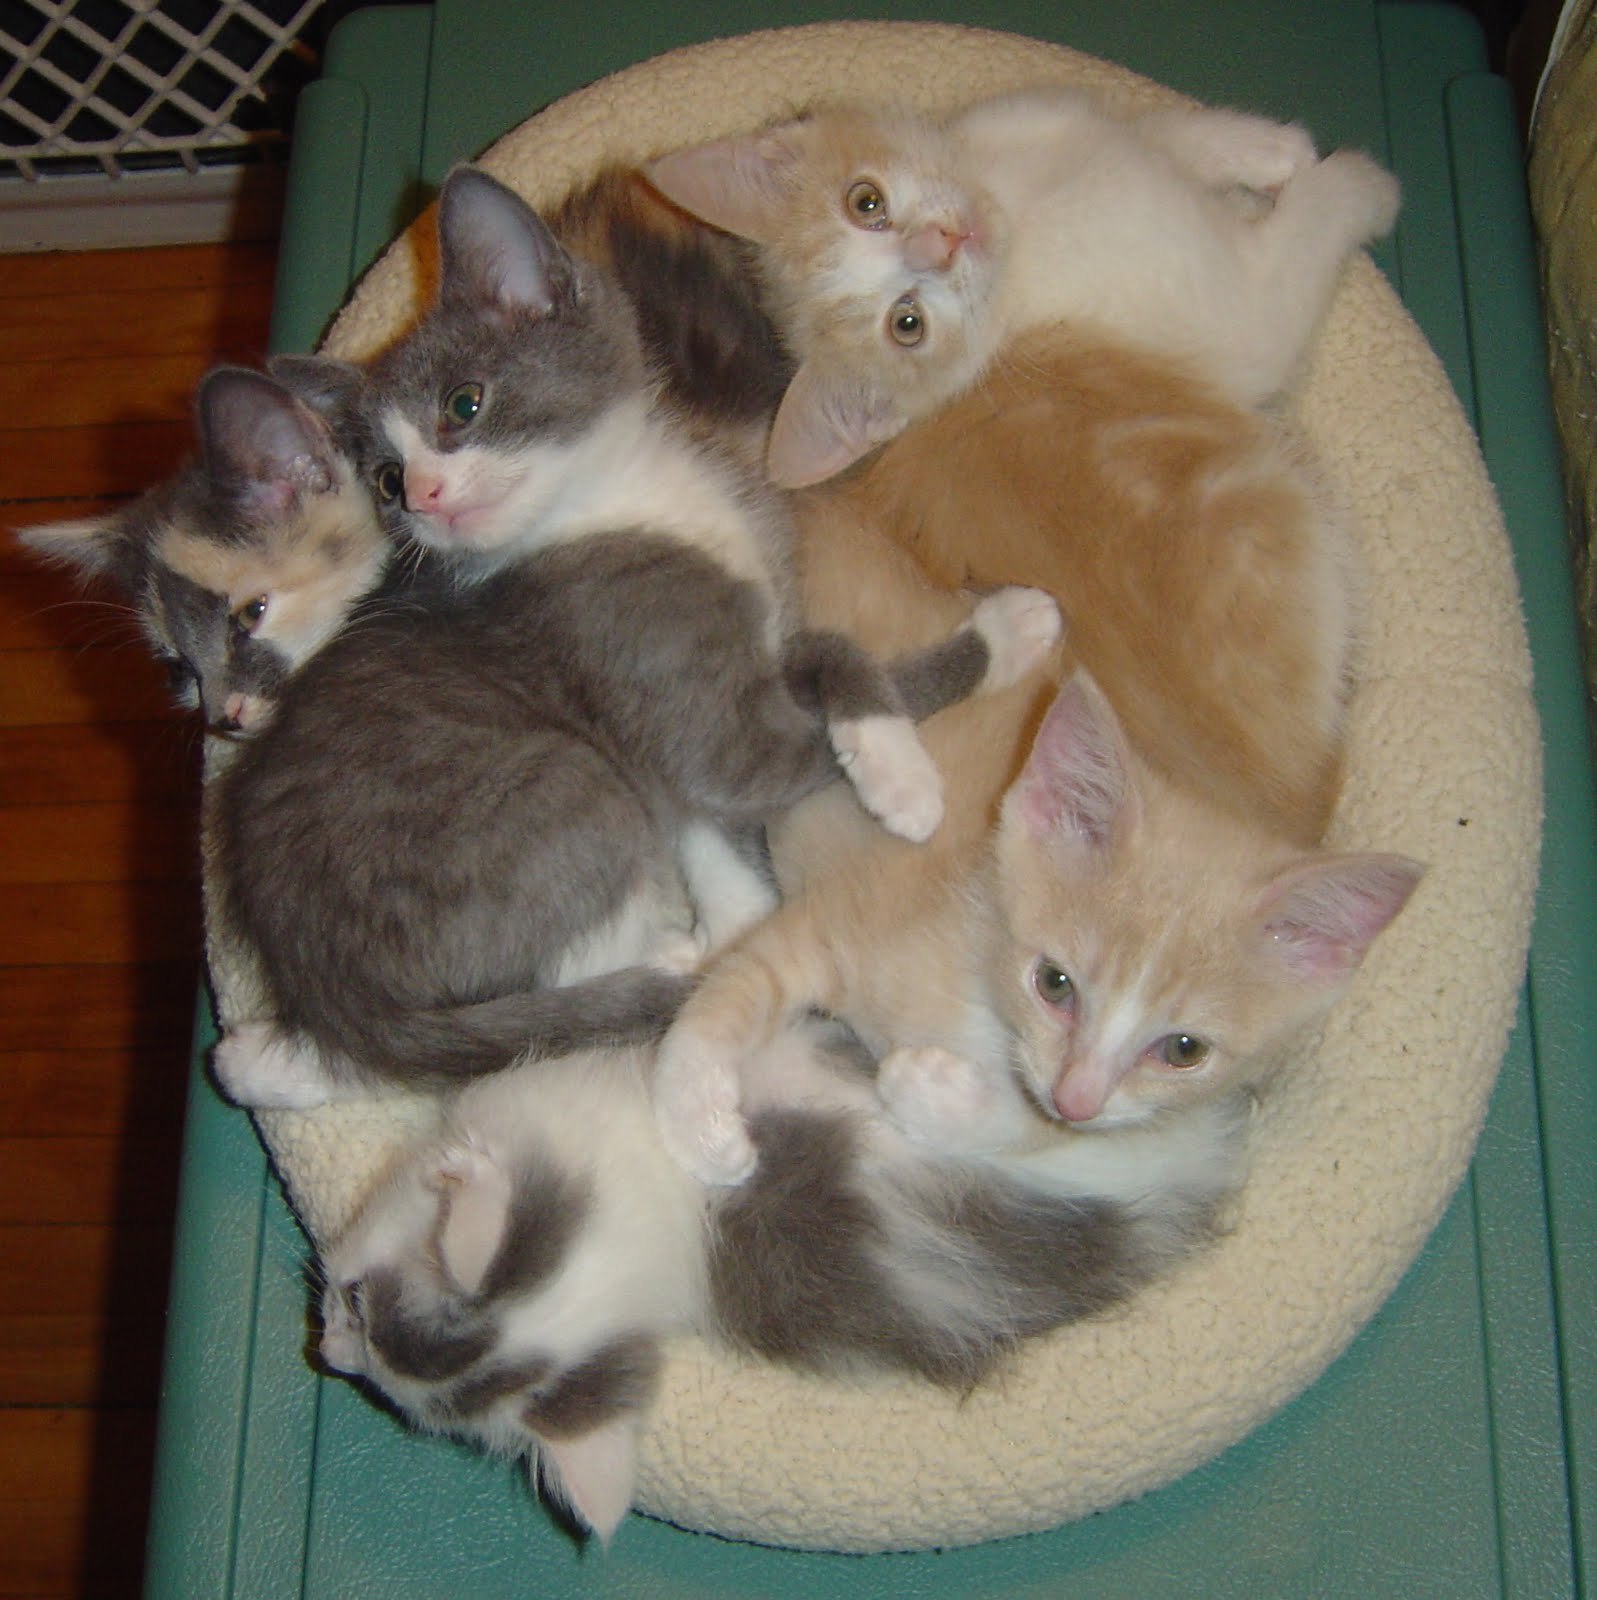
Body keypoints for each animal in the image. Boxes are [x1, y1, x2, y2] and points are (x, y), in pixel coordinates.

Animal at [208, 165, 1059, 1105]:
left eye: (464, 405)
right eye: (387, 479)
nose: (424, 496)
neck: (614, 502)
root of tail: (340, 994)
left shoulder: (723, 674)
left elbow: (808, 674)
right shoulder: (692, 711)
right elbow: (811, 715)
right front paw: (967, 683)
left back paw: (266, 1058)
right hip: (571, 786)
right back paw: (671, 963)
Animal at [645, 88, 1400, 485]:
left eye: (865, 203)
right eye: (907, 324)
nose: (942, 243)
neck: (1023, 211)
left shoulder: (1060, 124)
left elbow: (1162, 131)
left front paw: (1268, 150)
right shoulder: (1244, 314)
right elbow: (1305, 233)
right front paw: (1363, 182)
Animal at [649, 327, 1421, 1190]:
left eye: (1183, 1049)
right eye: (1055, 984)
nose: (1078, 1093)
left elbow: (1038, 1136)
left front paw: (934, 1094)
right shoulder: (832, 921)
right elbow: (733, 992)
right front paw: (694, 1116)